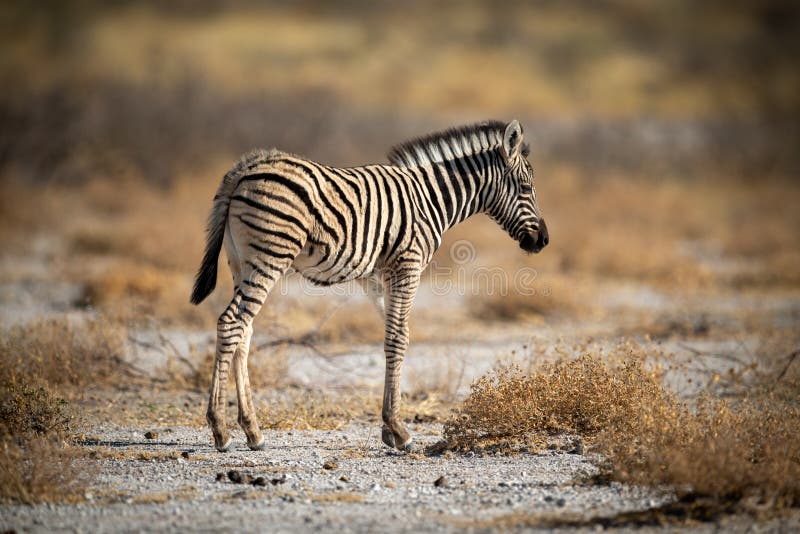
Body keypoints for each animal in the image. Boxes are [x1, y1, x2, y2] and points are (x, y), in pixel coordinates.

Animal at [190, 119, 549, 452]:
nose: (543, 241)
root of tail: (245, 167)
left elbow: (392, 338)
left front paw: (388, 431)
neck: (430, 199)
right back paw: (220, 429)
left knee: (244, 330)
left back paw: (252, 430)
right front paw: (400, 431)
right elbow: (399, 339)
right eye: (526, 188)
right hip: (271, 254)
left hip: (240, 262)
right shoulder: (407, 266)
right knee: (231, 322)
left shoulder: (378, 277)